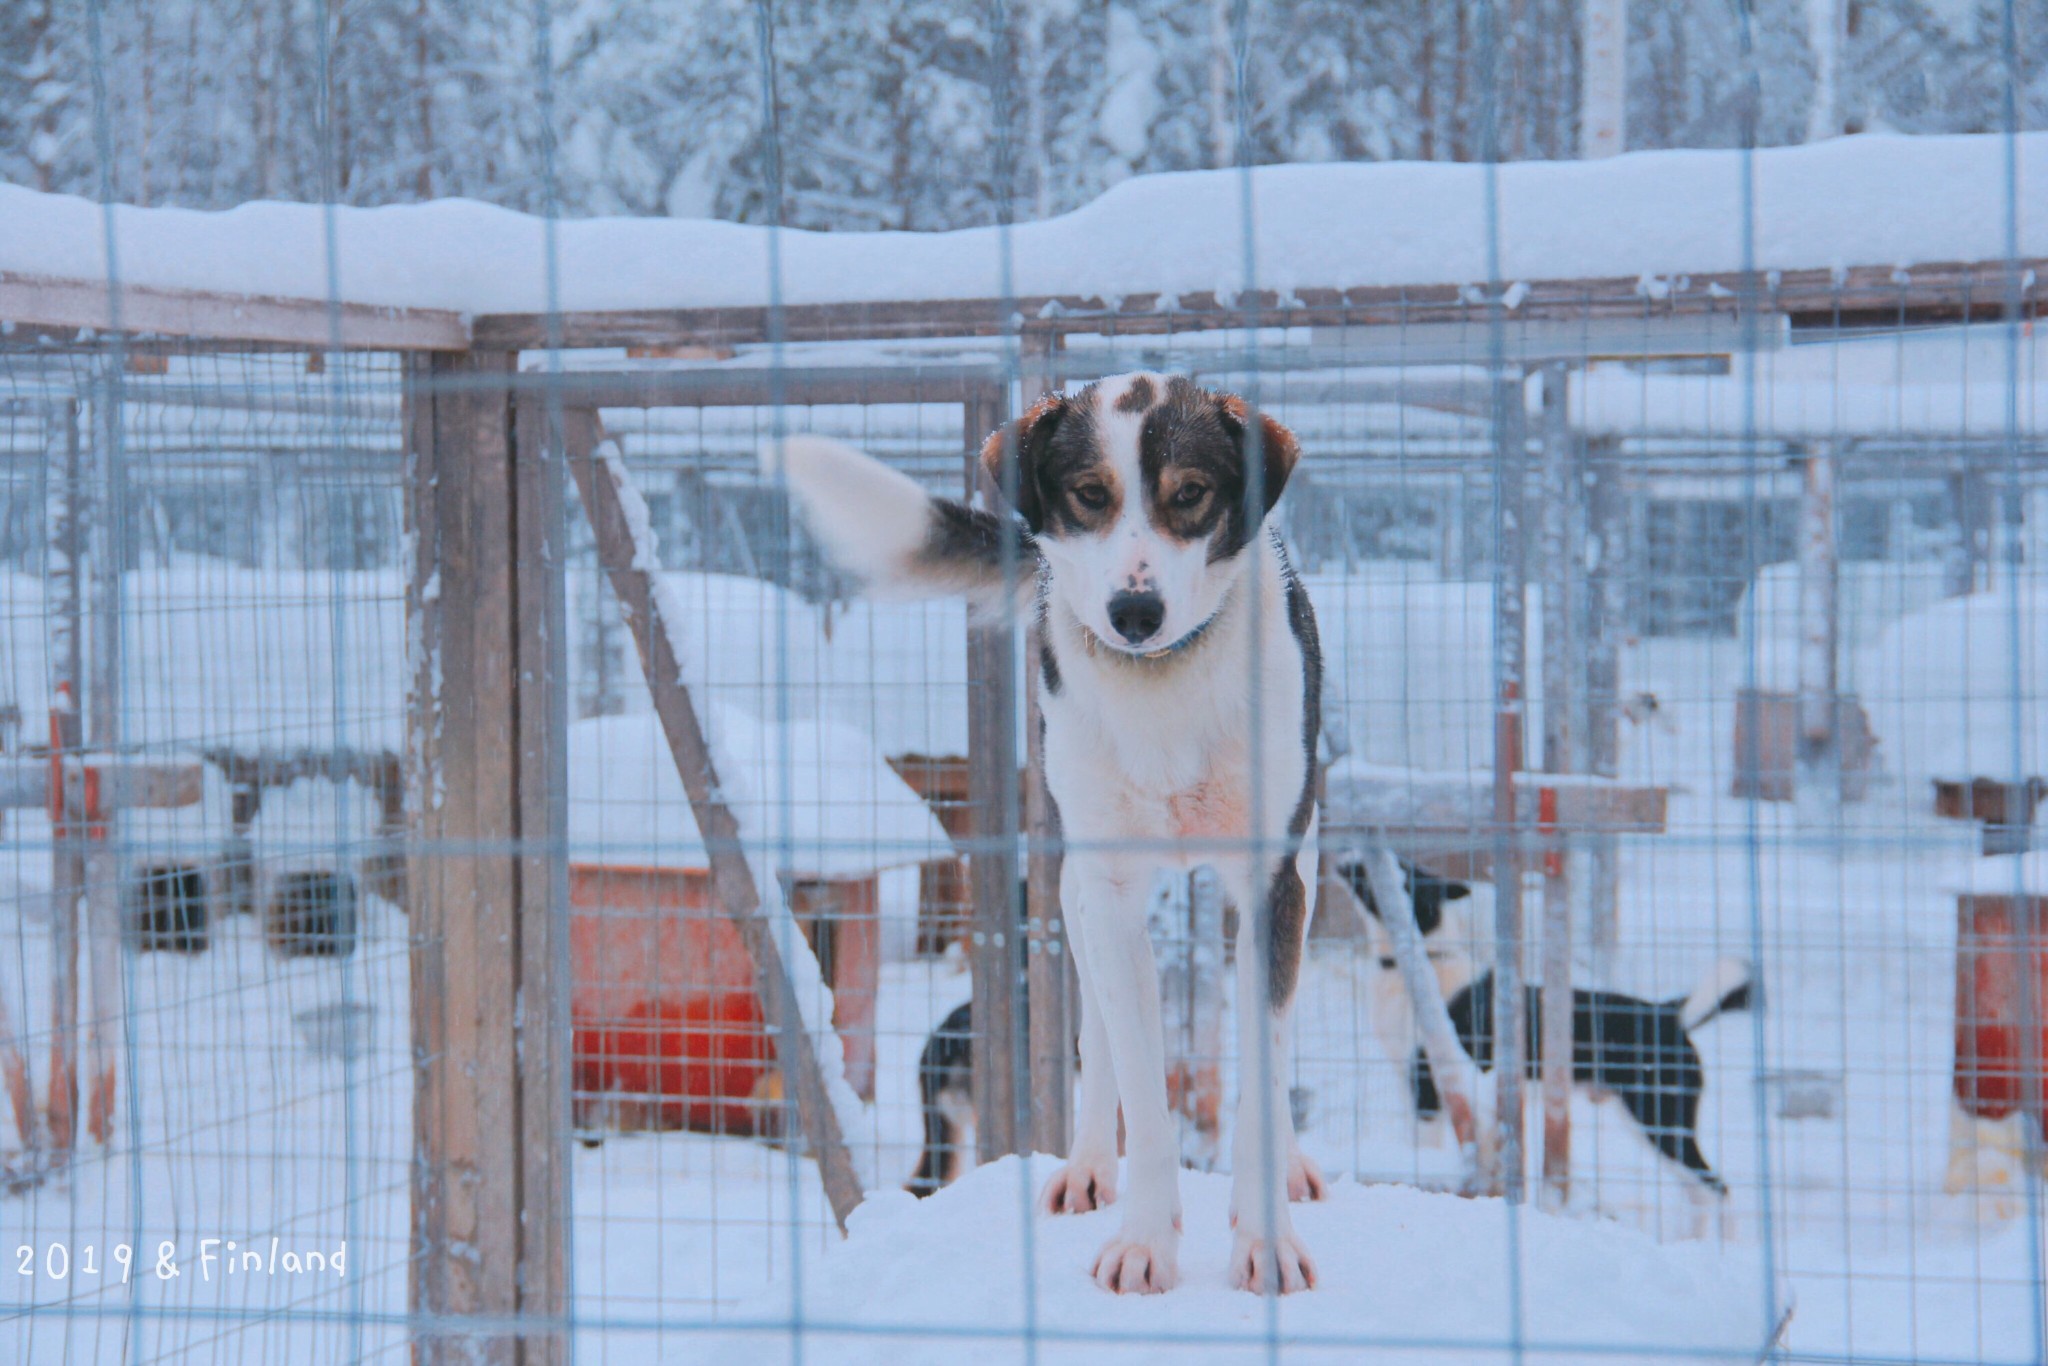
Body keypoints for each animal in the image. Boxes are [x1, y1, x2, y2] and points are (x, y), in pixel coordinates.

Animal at [770, 370, 1327, 1294]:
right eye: (1089, 496)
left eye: (1191, 494)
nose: (1134, 610)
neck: (1163, 681)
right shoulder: (1106, 890)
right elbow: (1138, 1079)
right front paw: (1144, 1240)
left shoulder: (1270, 882)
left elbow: (1263, 1062)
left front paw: (1265, 1241)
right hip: (1076, 887)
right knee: (1098, 1031)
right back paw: (1092, 1166)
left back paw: (1285, 1164)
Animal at [1335, 864, 1753, 1196]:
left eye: (1401, 875)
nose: (1347, 858)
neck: (1424, 960)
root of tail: (1669, 1013)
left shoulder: (1429, 1089)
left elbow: (1428, 1152)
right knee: (1698, 1191)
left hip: (1661, 1119)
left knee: (1717, 1189)